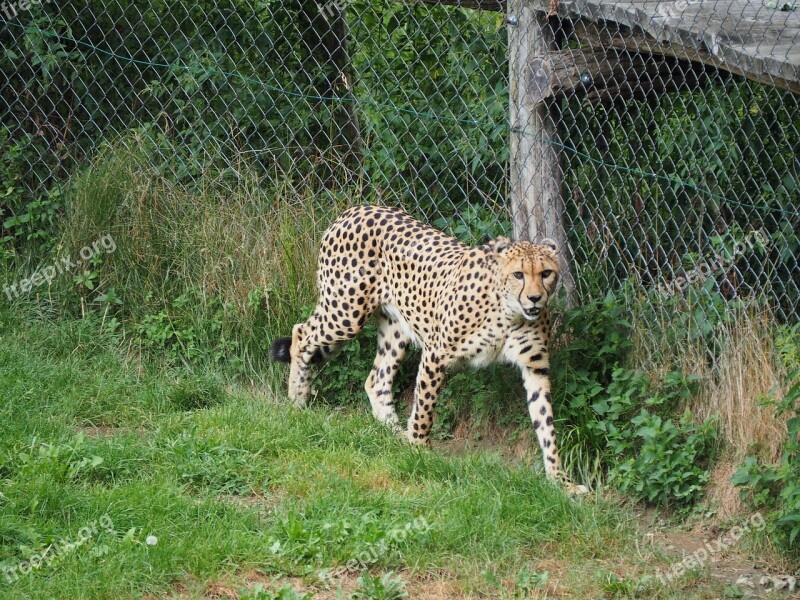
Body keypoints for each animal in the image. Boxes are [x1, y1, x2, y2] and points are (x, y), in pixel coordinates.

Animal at [268, 204, 588, 494]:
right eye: (519, 274)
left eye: (546, 273)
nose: (535, 299)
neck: (510, 312)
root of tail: (355, 209)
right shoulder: (437, 353)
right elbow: (425, 407)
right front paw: (419, 451)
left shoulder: (536, 368)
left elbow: (546, 425)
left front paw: (562, 482)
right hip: (346, 313)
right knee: (301, 334)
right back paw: (298, 399)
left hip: (396, 327)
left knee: (376, 380)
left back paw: (396, 433)